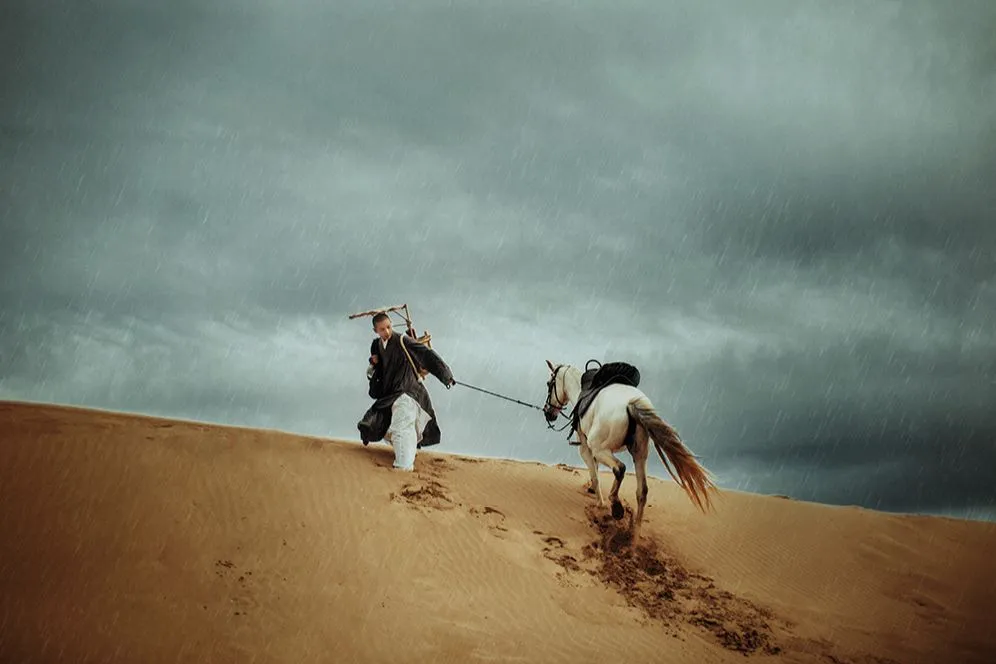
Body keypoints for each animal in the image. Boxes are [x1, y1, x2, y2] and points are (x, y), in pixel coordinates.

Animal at [543, 360, 718, 542]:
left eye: (549, 384)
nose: (548, 413)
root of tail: (631, 403)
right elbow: (596, 471)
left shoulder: (585, 448)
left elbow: (595, 475)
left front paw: (600, 503)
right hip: (639, 454)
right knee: (642, 491)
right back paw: (634, 538)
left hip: (601, 448)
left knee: (620, 468)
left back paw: (616, 506)